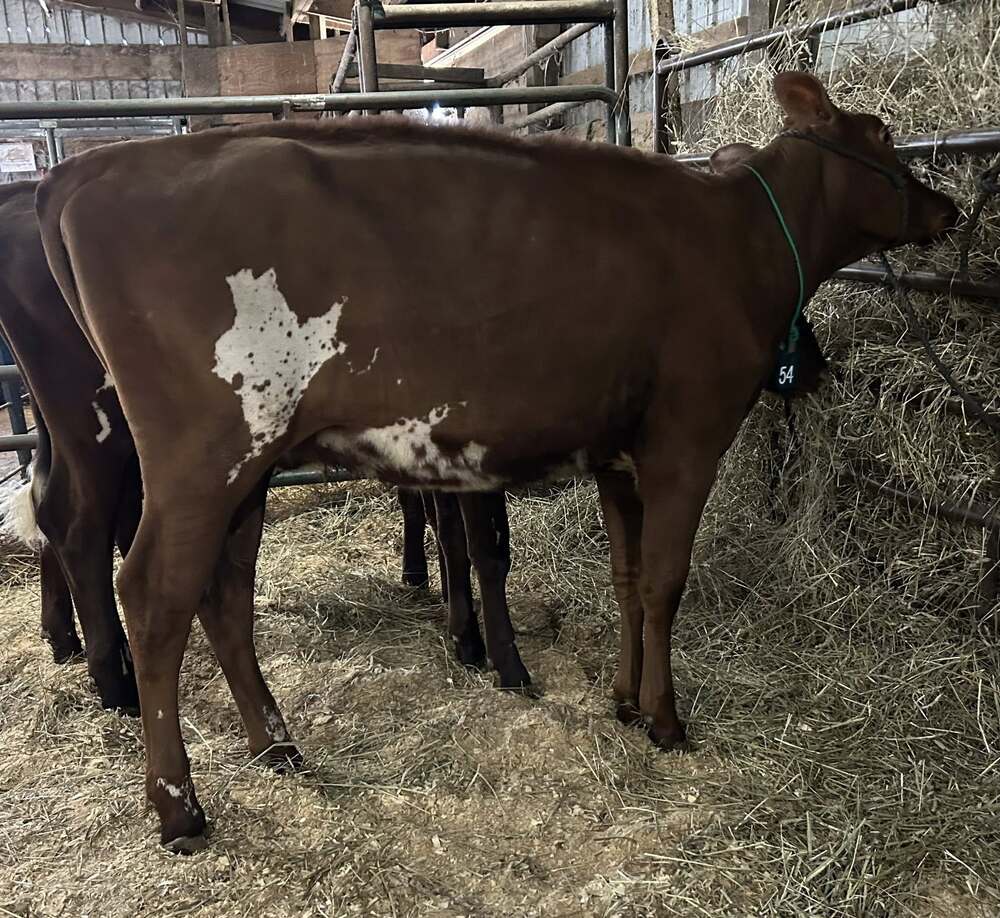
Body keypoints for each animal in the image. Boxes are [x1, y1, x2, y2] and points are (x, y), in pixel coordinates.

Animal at [36, 72, 958, 850]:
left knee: (224, 592)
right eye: (882, 132)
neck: (739, 237)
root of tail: (84, 170)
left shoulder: (617, 455)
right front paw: (665, 720)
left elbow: (627, 580)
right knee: (153, 594)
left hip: (248, 464)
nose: (947, 207)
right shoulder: (686, 441)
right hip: (204, 453)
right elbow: (665, 583)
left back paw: (276, 745)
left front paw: (622, 700)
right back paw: (179, 807)